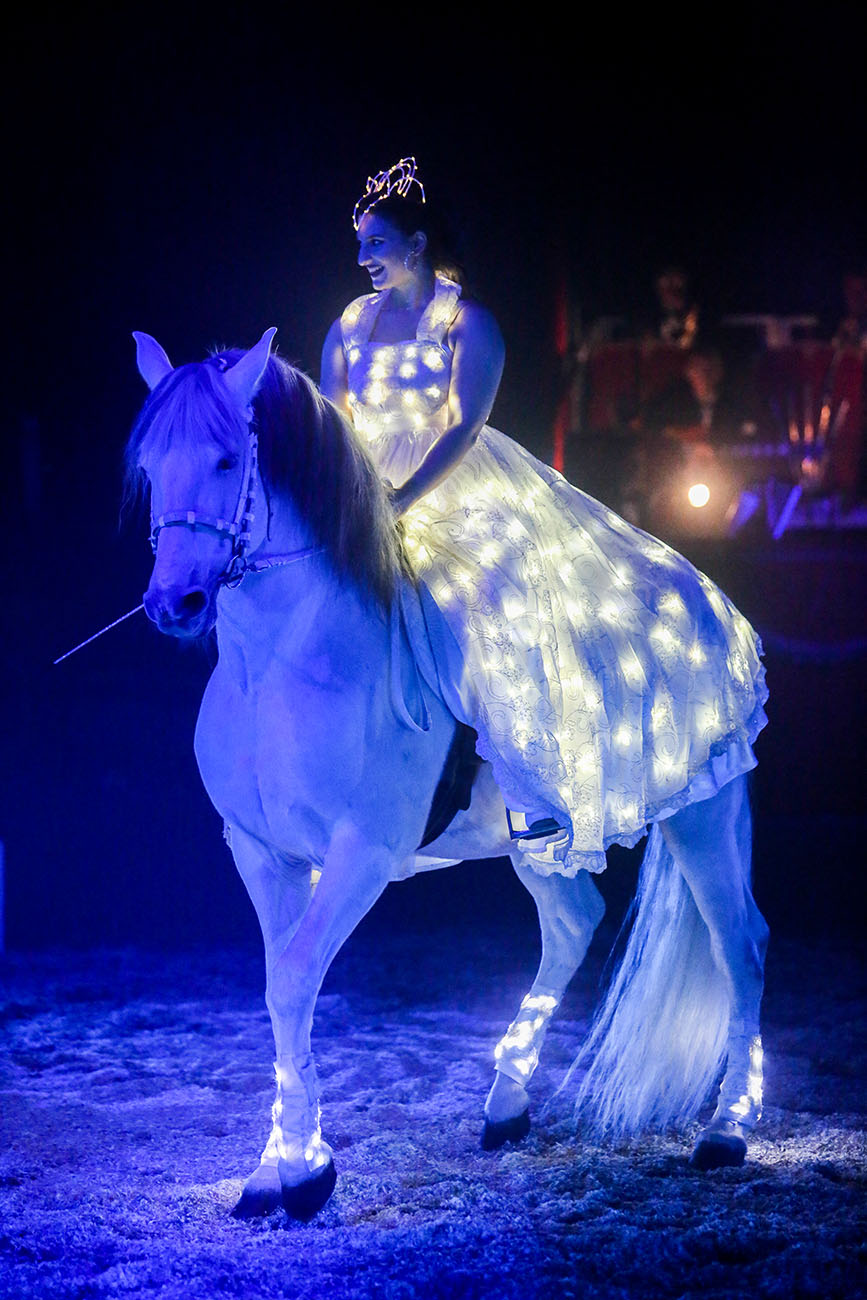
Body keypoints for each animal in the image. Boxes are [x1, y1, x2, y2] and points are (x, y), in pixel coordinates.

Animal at [125, 330, 769, 1222]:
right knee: (573, 921)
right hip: (538, 836)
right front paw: (274, 1170)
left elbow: (292, 982)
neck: (280, 665)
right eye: (152, 463)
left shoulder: (360, 854)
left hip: (702, 813)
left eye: (226, 461)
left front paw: (306, 1174)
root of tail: (706, 592)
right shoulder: (260, 854)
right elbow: (279, 988)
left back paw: (727, 1131)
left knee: (739, 944)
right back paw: (506, 1102)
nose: (174, 604)